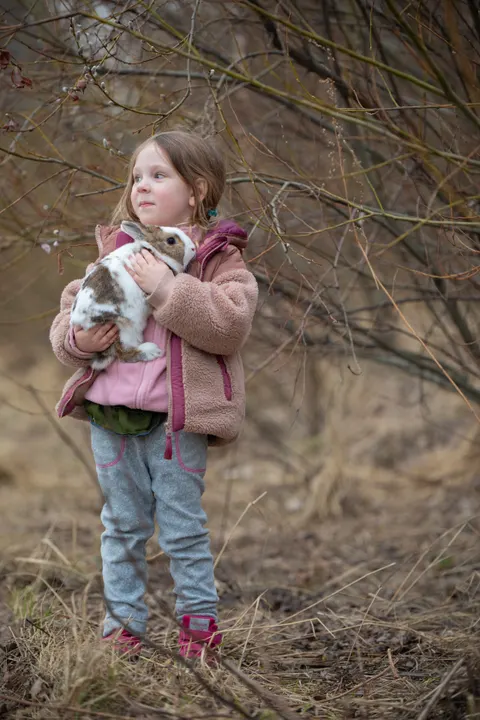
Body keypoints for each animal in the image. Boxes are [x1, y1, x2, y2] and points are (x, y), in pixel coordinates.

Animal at [70, 221, 196, 370]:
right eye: (171, 240)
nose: (193, 248)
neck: (154, 252)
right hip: (126, 327)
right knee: (124, 353)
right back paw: (152, 351)